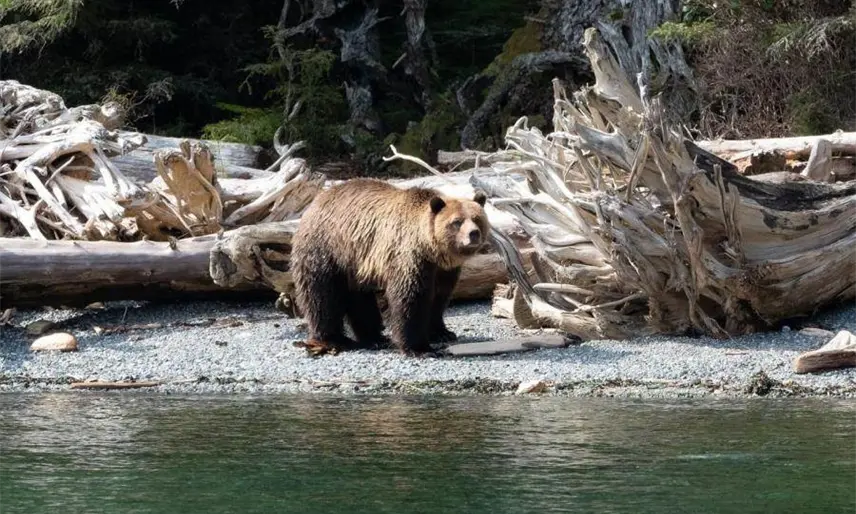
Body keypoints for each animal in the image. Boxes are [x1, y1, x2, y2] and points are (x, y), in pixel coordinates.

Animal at [290, 178, 490, 356]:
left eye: (477, 218)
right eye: (456, 222)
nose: (473, 234)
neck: (431, 249)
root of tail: (315, 202)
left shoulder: (444, 269)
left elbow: (439, 296)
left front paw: (442, 333)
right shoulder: (409, 257)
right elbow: (411, 298)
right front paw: (420, 348)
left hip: (355, 263)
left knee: (359, 298)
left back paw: (375, 338)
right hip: (327, 248)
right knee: (322, 295)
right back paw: (334, 339)